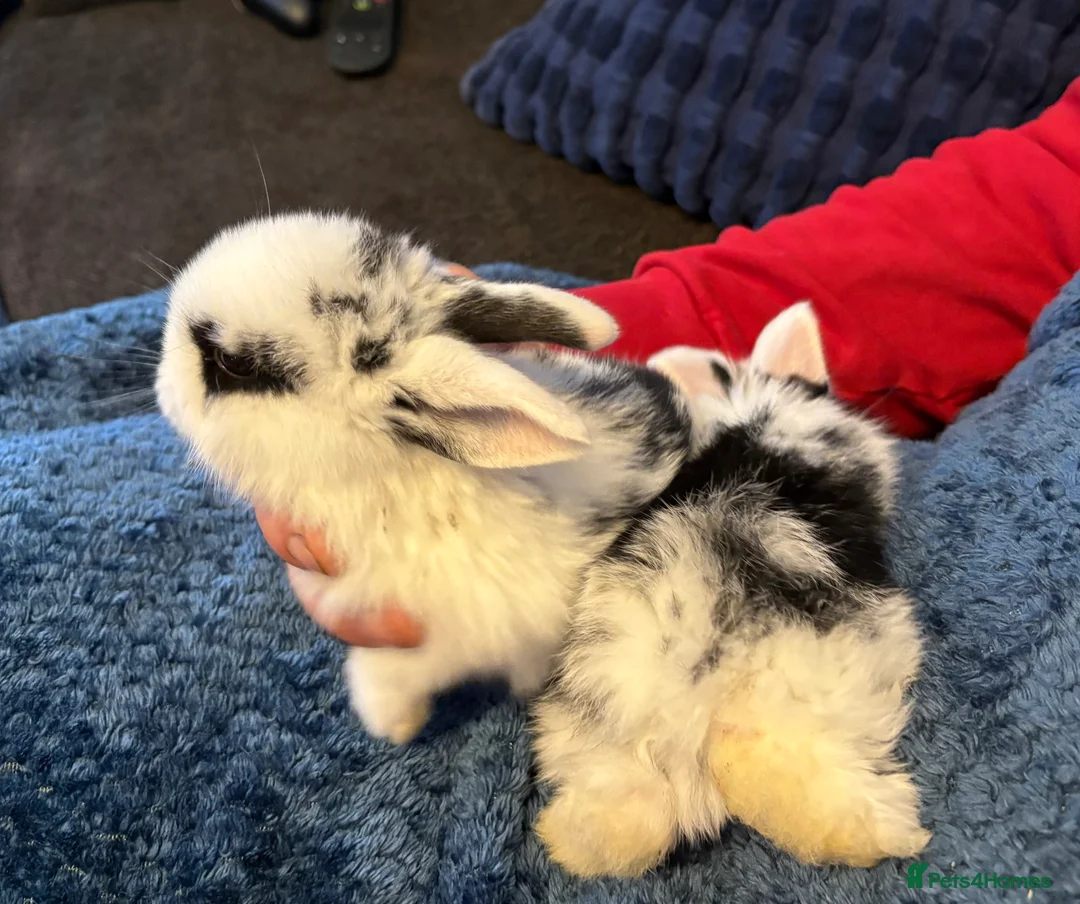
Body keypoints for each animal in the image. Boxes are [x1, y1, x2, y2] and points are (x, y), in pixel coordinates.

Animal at [531, 303, 930, 877]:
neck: (750, 413)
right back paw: (892, 832)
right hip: (817, 685)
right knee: (758, 759)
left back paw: (572, 844)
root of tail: (684, 705)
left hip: (597, 719)